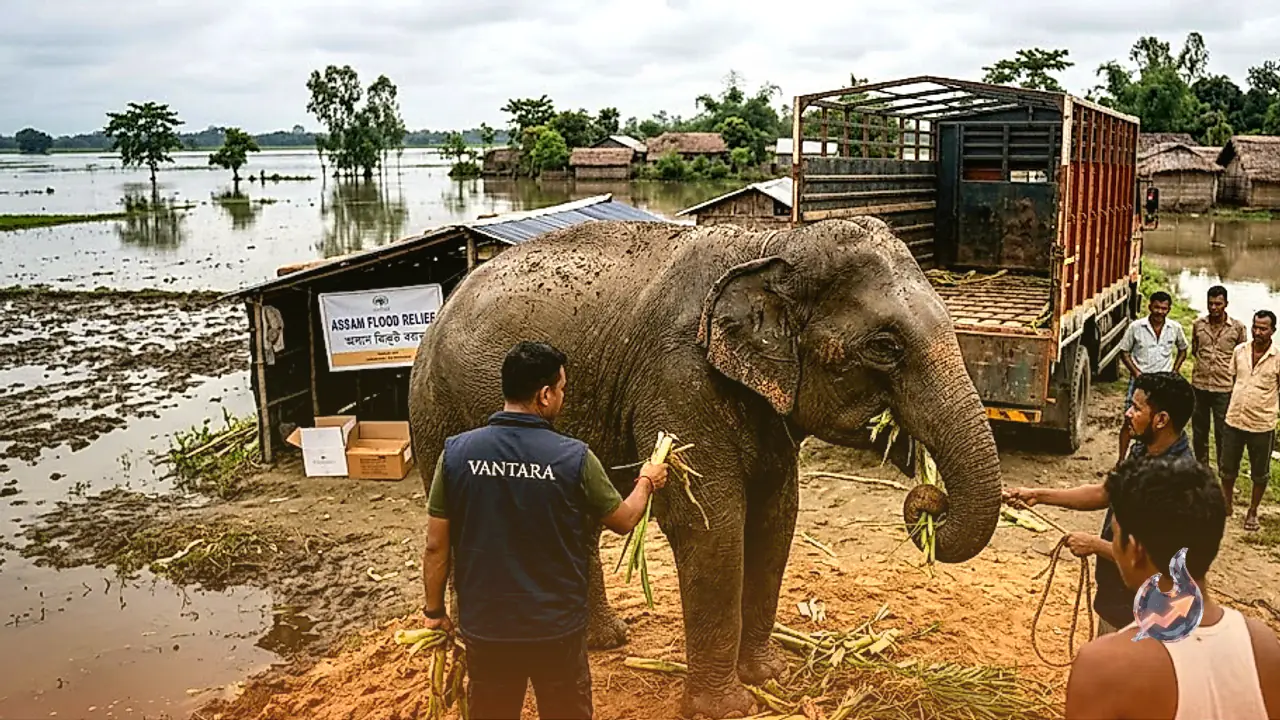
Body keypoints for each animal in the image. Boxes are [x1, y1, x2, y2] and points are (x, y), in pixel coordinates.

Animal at [407, 217, 1003, 718]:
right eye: (884, 346)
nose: (928, 498)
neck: (776, 244)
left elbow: (776, 516)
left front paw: (770, 675)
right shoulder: (677, 378)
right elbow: (711, 526)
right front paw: (727, 707)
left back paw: (602, 642)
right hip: (435, 411)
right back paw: (473, 653)